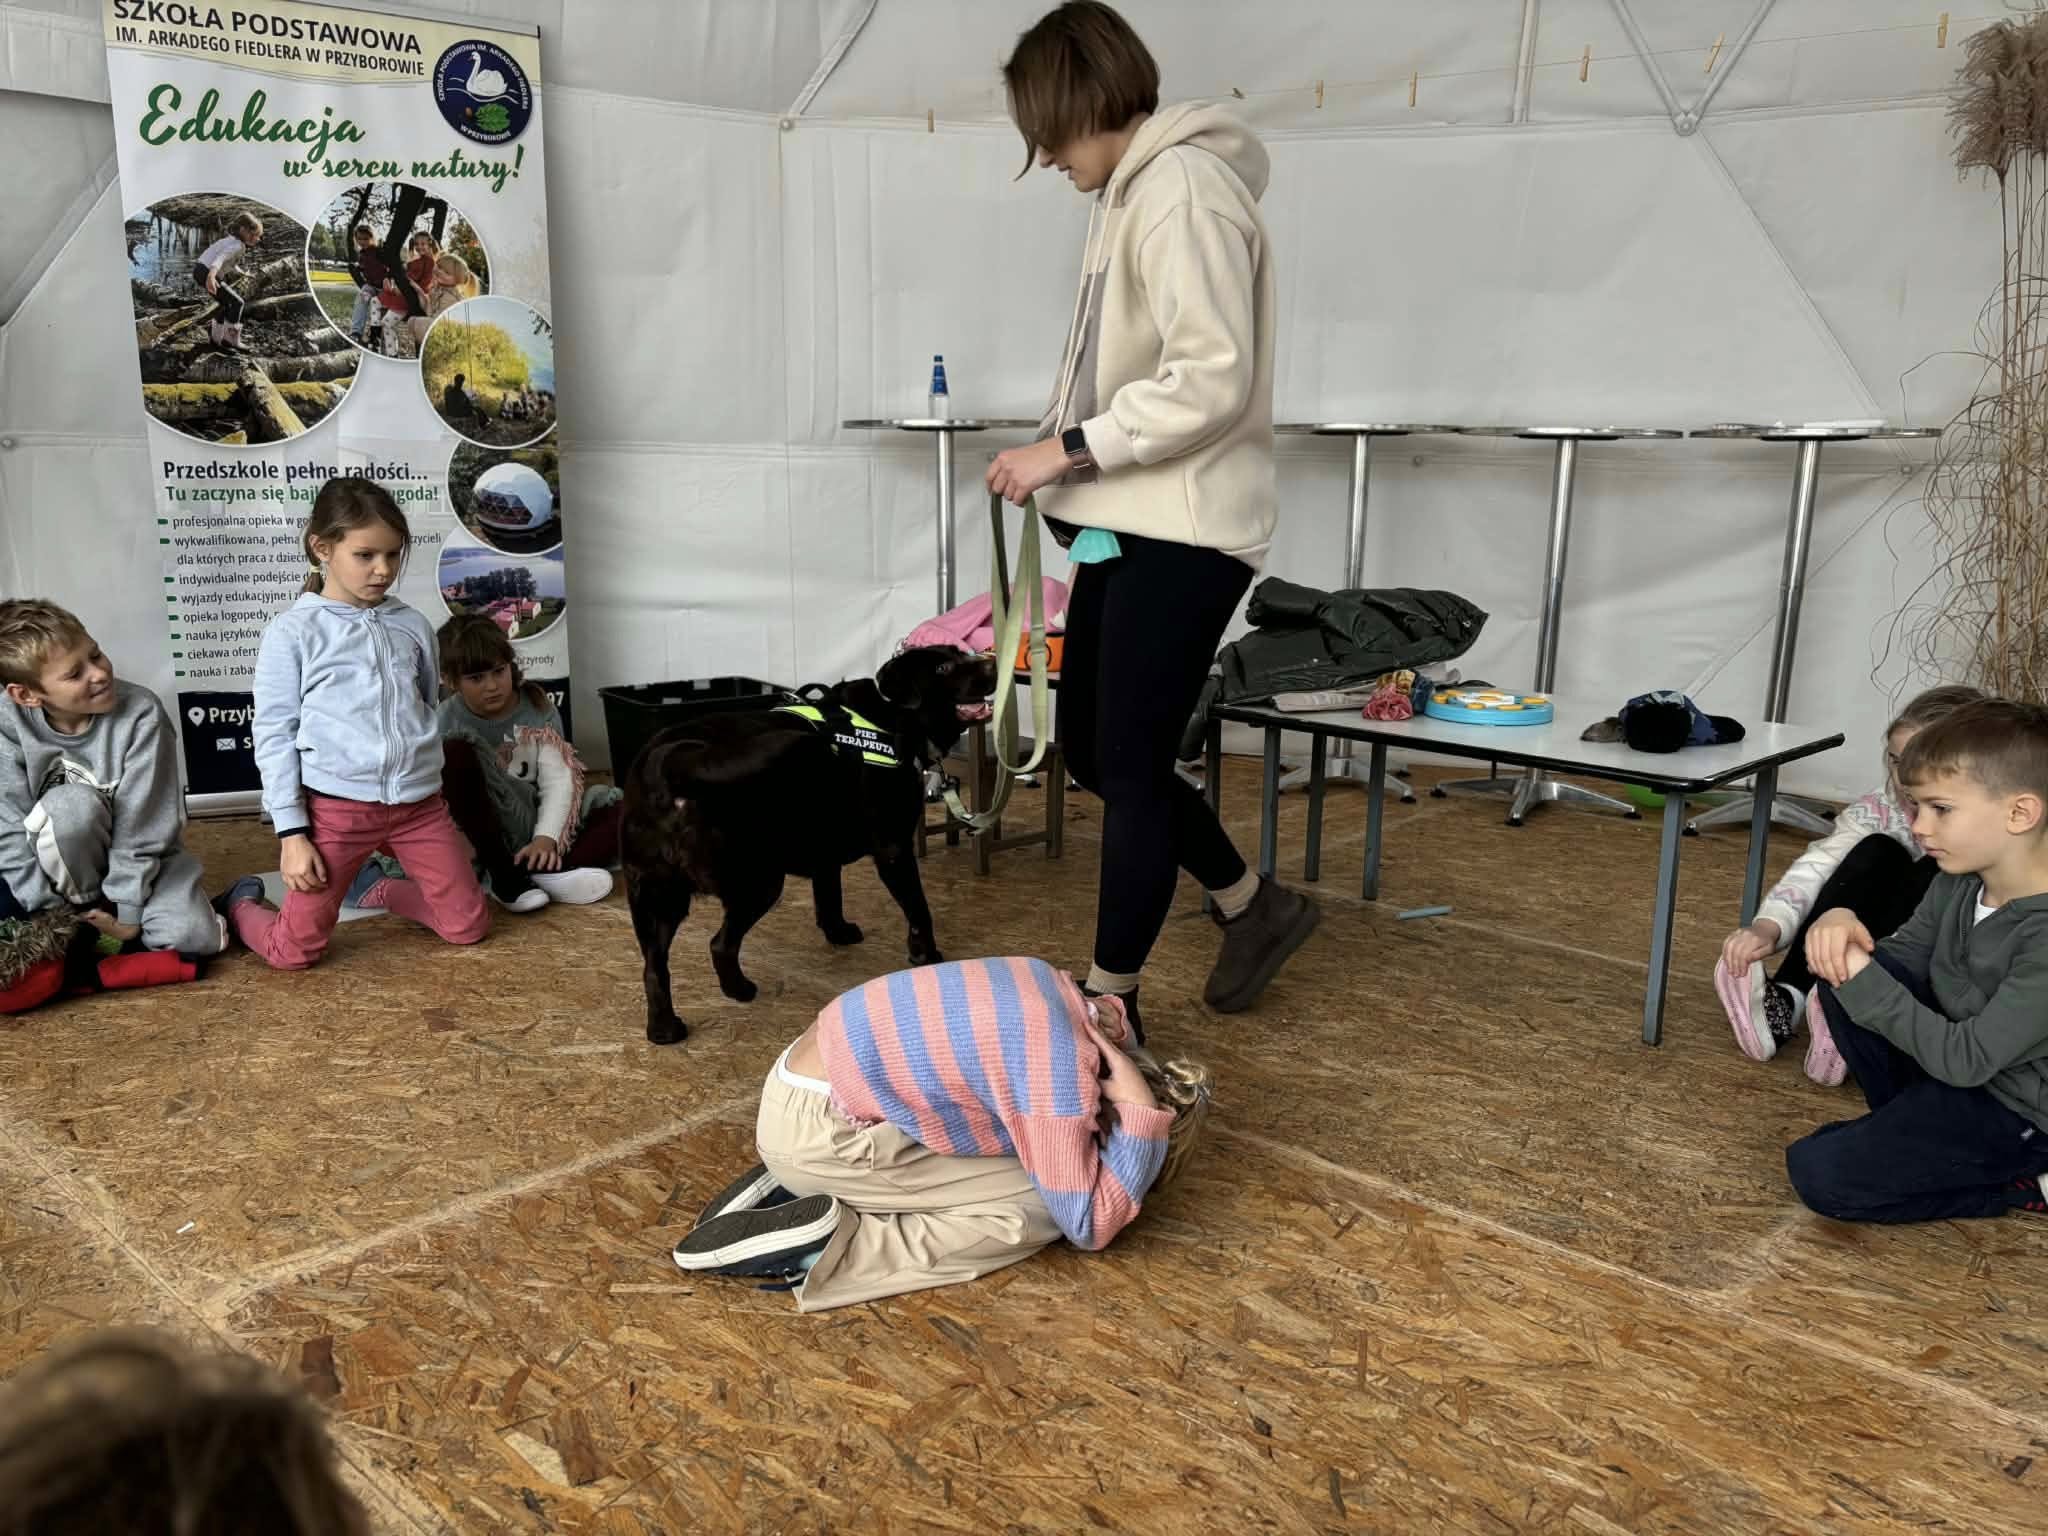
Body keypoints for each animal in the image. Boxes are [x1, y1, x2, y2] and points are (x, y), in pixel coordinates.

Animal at [622, 646, 999, 1044]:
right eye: (943, 667)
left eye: (963, 652)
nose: (993, 661)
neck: (891, 718)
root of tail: (670, 759)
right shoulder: (894, 850)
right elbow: (919, 910)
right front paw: (926, 955)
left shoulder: (824, 849)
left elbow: (829, 896)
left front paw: (839, 932)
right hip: (760, 882)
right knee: (720, 945)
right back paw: (739, 990)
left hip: (655, 899)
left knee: (654, 968)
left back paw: (664, 1029)